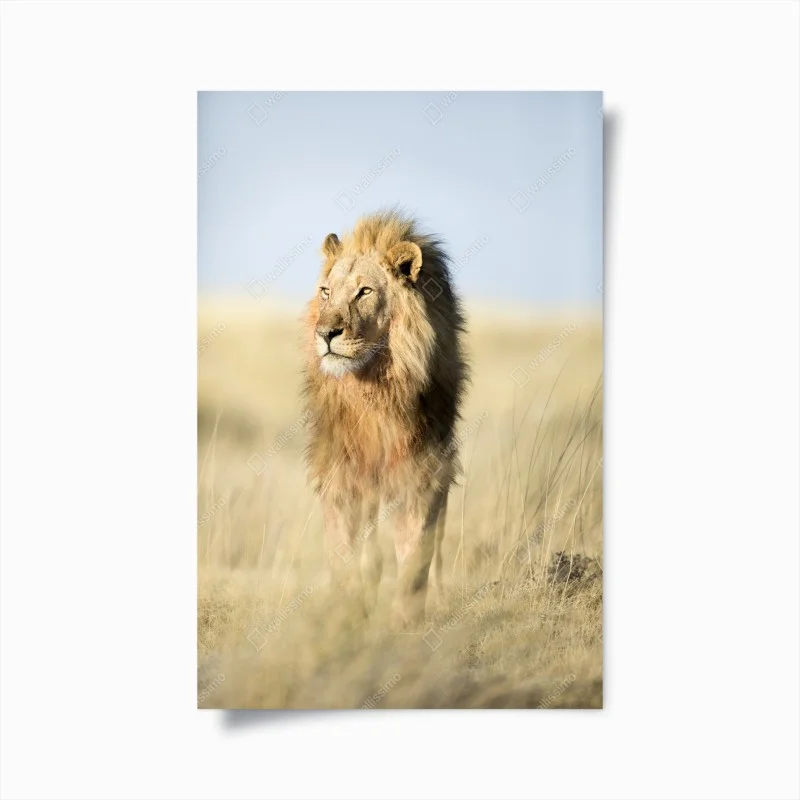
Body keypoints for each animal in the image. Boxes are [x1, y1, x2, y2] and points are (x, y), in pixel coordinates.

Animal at [302, 210, 468, 629]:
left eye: (364, 292)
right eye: (326, 292)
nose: (326, 333)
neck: (373, 389)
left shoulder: (423, 472)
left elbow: (415, 556)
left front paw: (405, 624)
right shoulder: (341, 475)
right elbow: (346, 555)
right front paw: (347, 618)